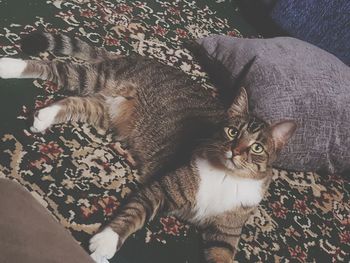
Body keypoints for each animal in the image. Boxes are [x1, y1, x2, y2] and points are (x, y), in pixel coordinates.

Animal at [0, 33, 296, 263]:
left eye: (256, 148)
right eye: (232, 132)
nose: (236, 151)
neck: (227, 175)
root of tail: (138, 58)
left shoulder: (225, 235)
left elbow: (222, 253)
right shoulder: (164, 188)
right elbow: (135, 212)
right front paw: (106, 241)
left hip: (104, 109)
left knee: (73, 102)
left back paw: (44, 116)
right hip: (96, 78)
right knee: (55, 67)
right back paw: (10, 65)